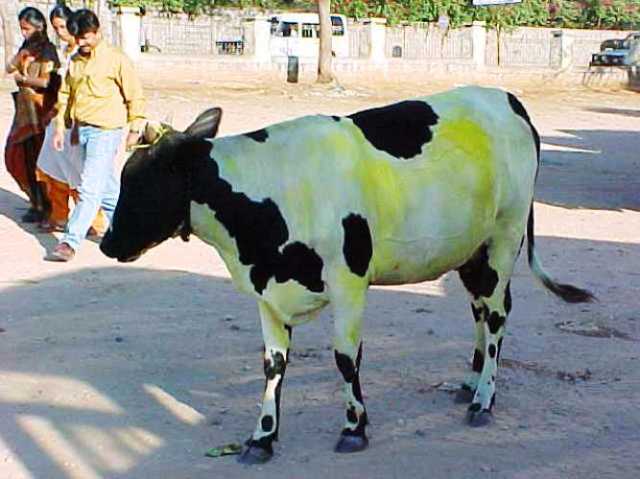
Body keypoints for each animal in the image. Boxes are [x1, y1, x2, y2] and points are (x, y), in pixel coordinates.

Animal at [100, 86, 594, 464]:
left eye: (143, 183)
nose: (106, 244)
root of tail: (506, 98)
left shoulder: (349, 283)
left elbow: (345, 358)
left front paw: (354, 427)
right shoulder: (267, 293)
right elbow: (273, 364)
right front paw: (262, 437)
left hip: (503, 239)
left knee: (496, 315)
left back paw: (484, 398)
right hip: (470, 251)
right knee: (480, 310)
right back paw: (471, 382)